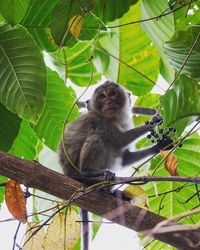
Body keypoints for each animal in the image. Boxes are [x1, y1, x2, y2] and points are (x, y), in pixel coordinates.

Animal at [58, 80, 173, 250]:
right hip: (76, 169)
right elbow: (118, 140)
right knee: (98, 137)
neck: (114, 119)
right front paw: (151, 123)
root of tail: (67, 173)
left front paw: (159, 146)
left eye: (112, 94)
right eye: (101, 96)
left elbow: (125, 157)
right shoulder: (101, 121)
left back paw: (108, 190)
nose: (108, 102)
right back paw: (89, 174)